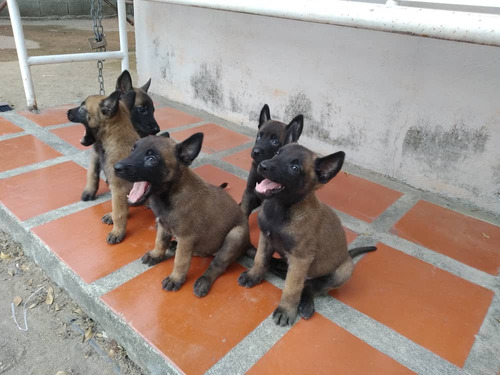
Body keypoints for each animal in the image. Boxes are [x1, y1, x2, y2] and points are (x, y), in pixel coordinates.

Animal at [67, 90, 139, 245]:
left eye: (82, 107)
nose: (67, 112)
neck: (115, 139)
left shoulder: (119, 188)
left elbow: (119, 212)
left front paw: (117, 232)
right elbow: (118, 207)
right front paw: (112, 216)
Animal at [75, 71, 161, 204]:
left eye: (153, 110)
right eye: (142, 110)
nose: (157, 130)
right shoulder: (95, 153)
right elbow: (92, 172)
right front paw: (89, 191)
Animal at [115, 134, 252, 298]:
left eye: (151, 159)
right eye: (132, 150)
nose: (116, 168)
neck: (171, 194)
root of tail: (248, 242)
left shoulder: (187, 238)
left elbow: (181, 261)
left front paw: (175, 279)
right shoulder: (163, 226)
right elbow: (160, 242)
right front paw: (156, 255)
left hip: (234, 236)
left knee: (217, 265)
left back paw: (203, 281)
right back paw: (174, 245)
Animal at [238, 141, 376, 326]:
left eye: (295, 167)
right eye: (277, 153)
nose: (263, 165)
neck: (281, 209)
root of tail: (347, 255)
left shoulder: (300, 259)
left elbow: (292, 288)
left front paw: (286, 309)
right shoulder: (265, 239)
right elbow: (260, 259)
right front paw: (254, 275)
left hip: (343, 272)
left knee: (310, 287)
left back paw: (306, 303)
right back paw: (277, 264)